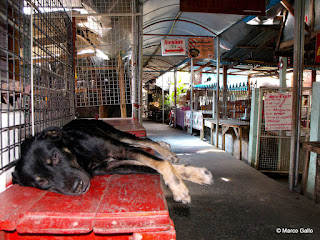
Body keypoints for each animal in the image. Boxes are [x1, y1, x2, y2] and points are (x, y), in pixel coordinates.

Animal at [12, 119, 214, 203]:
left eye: (54, 156)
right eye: (42, 182)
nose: (77, 186)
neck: (81, 157)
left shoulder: (121, 149)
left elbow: (161, 163)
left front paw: (179, 189)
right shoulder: (115, 165)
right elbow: (154, 166)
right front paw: (194, 174)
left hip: (114, 134)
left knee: (144, 141)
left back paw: (165, 149)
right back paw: (164, 146)